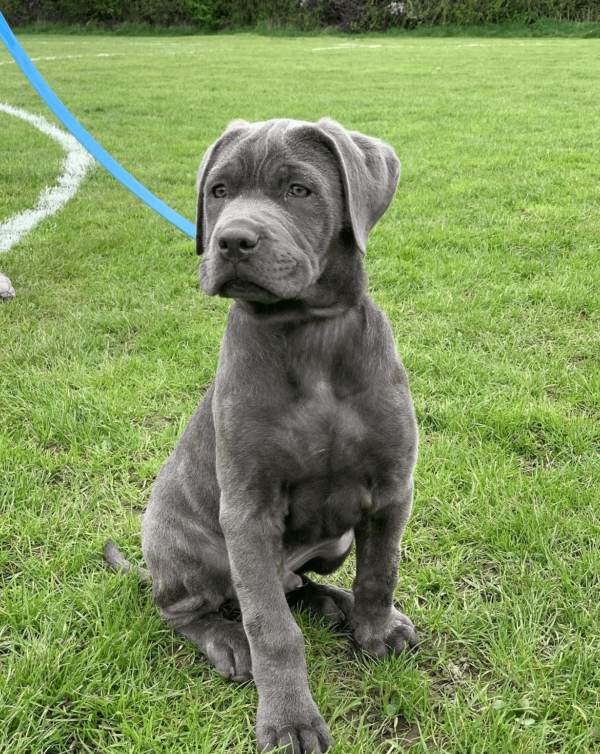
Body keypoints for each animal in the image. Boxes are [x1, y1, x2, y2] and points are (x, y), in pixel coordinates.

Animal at [105, 119, 420, 752]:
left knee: (297, 585)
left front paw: (375, 631)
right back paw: (228, 640)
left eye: (299, 190)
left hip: (330, 544)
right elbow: (271, 627)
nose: (231, 241)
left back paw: (336, 603)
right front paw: (290, 719)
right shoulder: (248, 511)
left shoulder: (393, 488)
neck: (308, 333)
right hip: (189, 550)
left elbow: (380, 572)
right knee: (193, 609)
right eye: (219, 191)